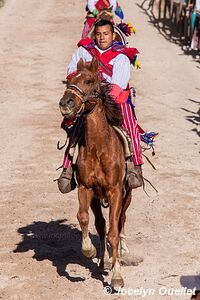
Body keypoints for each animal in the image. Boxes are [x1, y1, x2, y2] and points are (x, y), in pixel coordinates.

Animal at [58, 56, 132, 288]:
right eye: (69, 80)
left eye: (89, 81)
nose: (66, 103)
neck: (99, 148)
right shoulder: (86, 188)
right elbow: (83, 218)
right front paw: (89, 251)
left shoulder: (116, 191)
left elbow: (114, 233)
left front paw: (117, 276)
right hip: (96, 198)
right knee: (101, 225)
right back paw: (103, 260)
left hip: (127, 194)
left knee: (121, 220)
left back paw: (122, 252)